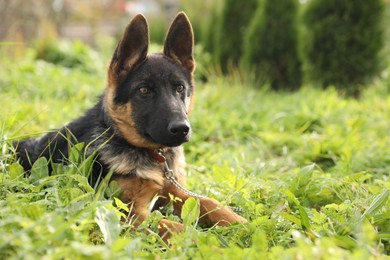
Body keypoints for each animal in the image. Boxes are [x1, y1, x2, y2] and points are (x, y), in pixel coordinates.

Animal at [16, 11, 247, 240]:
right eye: (144, 90)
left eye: (180, 88)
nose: (181, 129)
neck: (154, 157)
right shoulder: (125, 214)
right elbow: (170, 225)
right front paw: (206, 239)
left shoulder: (175, 193)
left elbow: (208, 201)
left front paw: (241, 223)